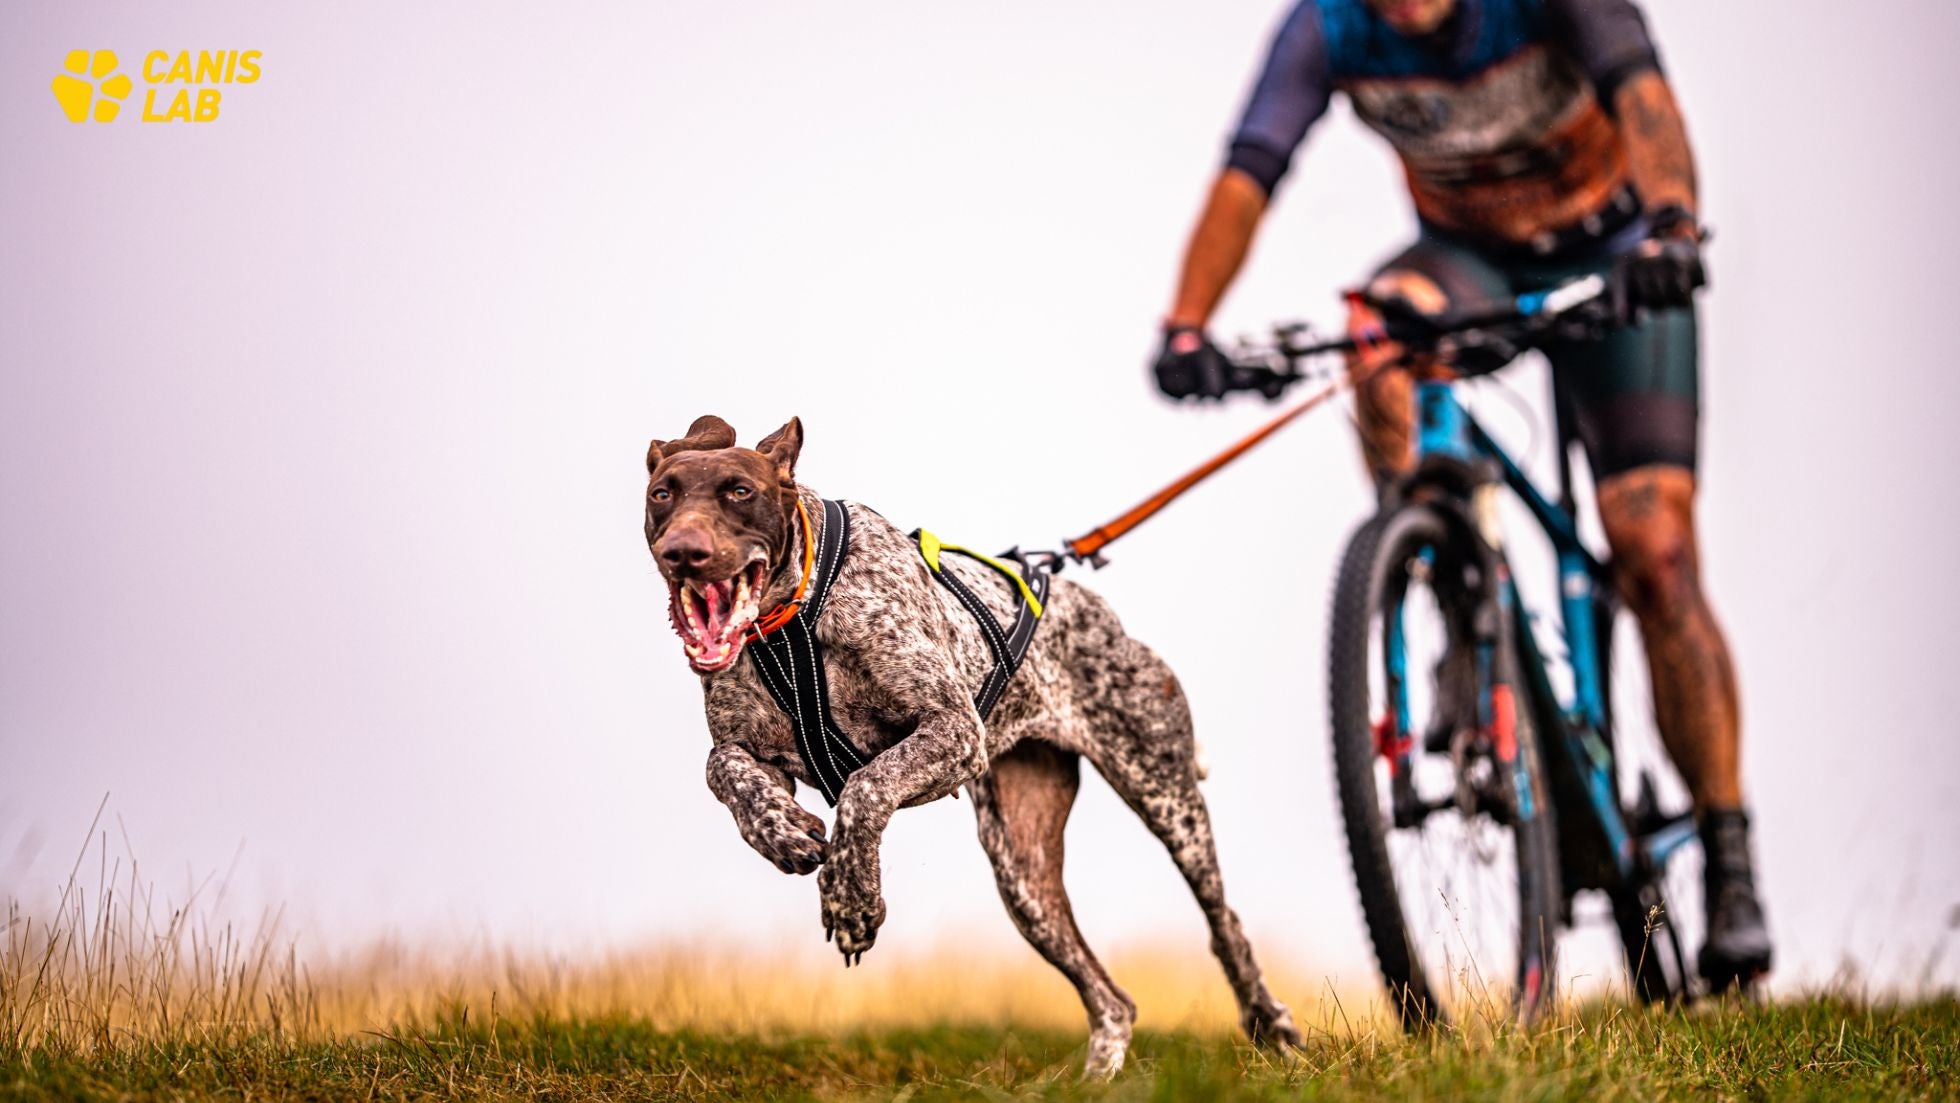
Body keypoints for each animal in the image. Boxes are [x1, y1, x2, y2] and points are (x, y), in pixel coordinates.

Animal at [642, 417, 1301, 1081]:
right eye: (662, 495)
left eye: (739, 491)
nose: (683, 552)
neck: (792, 619)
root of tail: (1107, 619)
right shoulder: (756, 750)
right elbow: (723, 768)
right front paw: (779, 831)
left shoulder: (952, 729)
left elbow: (864, 788)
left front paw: (852, 897)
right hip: (1023, 873)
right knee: (1113, 1000)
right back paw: (1097, 1079)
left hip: (1169, 804)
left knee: (1225, 924)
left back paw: (1269, 1023)